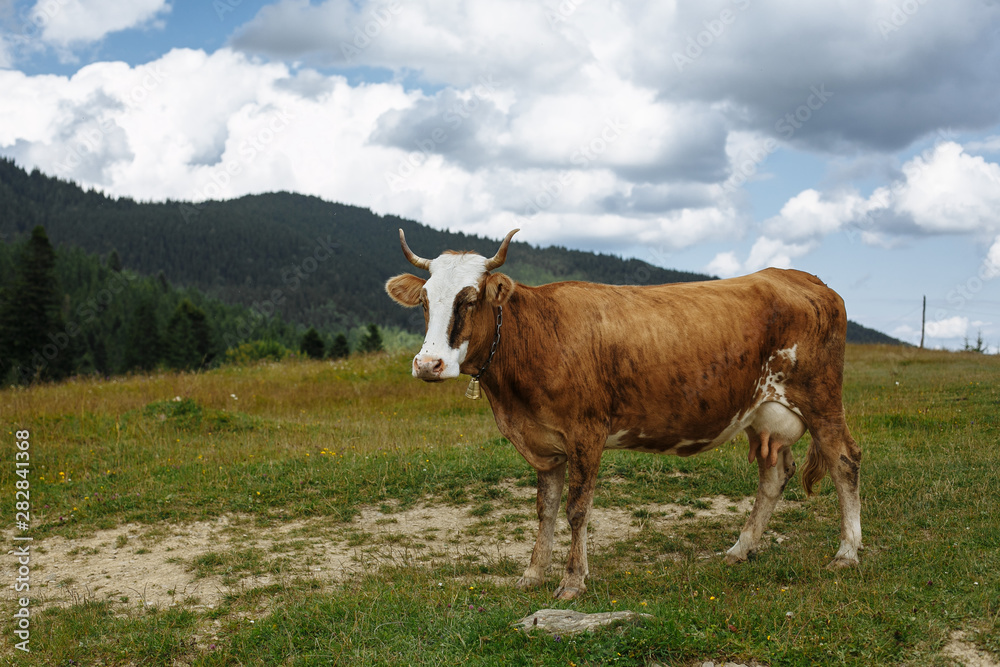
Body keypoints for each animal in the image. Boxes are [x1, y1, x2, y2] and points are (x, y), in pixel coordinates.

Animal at [384, 230, 860, 600]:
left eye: (470, 299)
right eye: (425, 301)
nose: (428, 364)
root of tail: (804, 279)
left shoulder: (586, 432)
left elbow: (577, 509)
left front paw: (572, 581)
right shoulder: (544, 441)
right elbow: (545, 508)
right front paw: (533, 573)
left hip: (821, 398)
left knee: (844, 461)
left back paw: (847, 553)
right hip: (763, 414)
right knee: (774, 474)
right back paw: (740, 549)